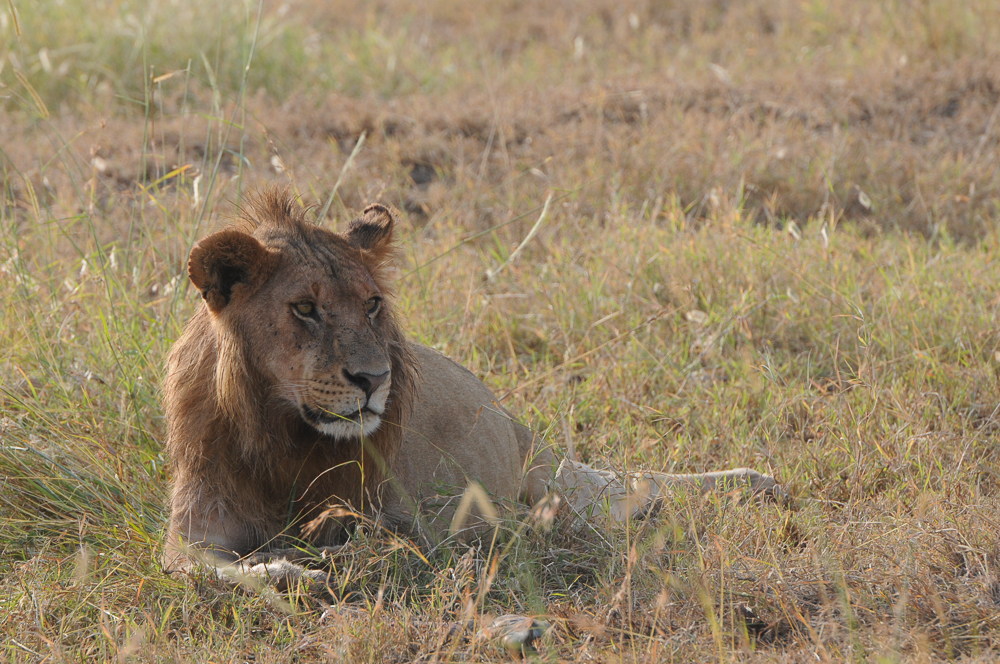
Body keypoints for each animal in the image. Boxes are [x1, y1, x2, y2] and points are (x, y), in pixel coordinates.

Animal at [162, 187, 780, 588]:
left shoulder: (417, 520)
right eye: (305, 309)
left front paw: (320, 553)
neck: (283, 432)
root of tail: (515, 421)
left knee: (620, 492)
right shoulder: (191, 532)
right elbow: (205, 570)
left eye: (371, 304)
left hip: (552, 486)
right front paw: (286, 568)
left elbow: (379, 539)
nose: (374, 379)